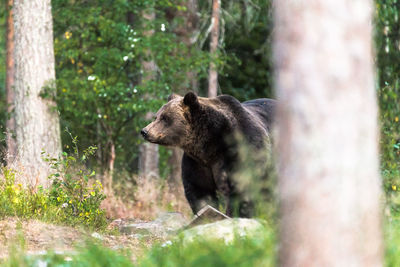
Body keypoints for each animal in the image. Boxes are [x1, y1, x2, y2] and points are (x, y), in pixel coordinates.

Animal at [141, 92, 276, 218]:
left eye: (165, 118)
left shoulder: (244, 147)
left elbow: (242, 186)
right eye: (156, 116)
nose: (144, 131)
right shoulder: (197, 161)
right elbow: (200, 188)